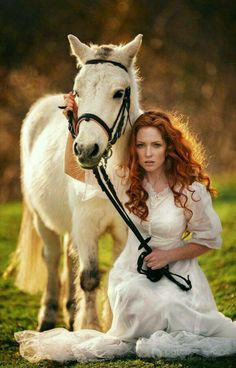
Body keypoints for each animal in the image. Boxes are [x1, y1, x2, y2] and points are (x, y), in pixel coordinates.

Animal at [14, 34, 142, 332]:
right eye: (77, 91)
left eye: (119, 93)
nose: (85, 150)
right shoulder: (85, 226)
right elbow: (90, 277)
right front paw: (91, 328)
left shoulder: (123, 231)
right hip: (42, 220)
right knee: (52, 259)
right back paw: (48, 316)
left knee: (68, 256)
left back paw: (71, 314)